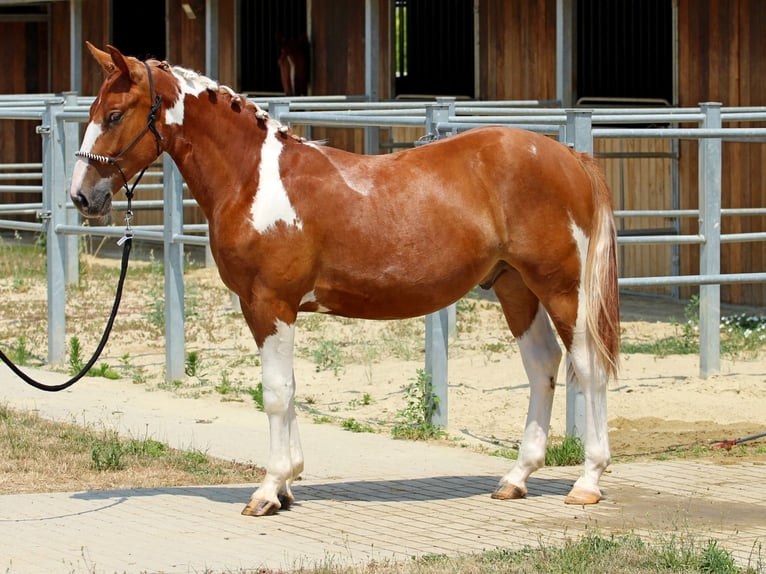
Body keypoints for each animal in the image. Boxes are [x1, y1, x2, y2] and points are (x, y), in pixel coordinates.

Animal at [70, 43, 620, 517]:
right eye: (93, 110)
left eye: (115, 115)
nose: (82, 197)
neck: (254, 180)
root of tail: (569, 157)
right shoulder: (273, 308)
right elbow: (290, 387)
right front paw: (288, 484)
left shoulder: (269, 303)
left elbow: (275, 392)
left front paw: (268, 490)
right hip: (513, 286)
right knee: (542, 364)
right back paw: (516, 478)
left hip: (560, 288)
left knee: (588, 367)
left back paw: (587, 482)